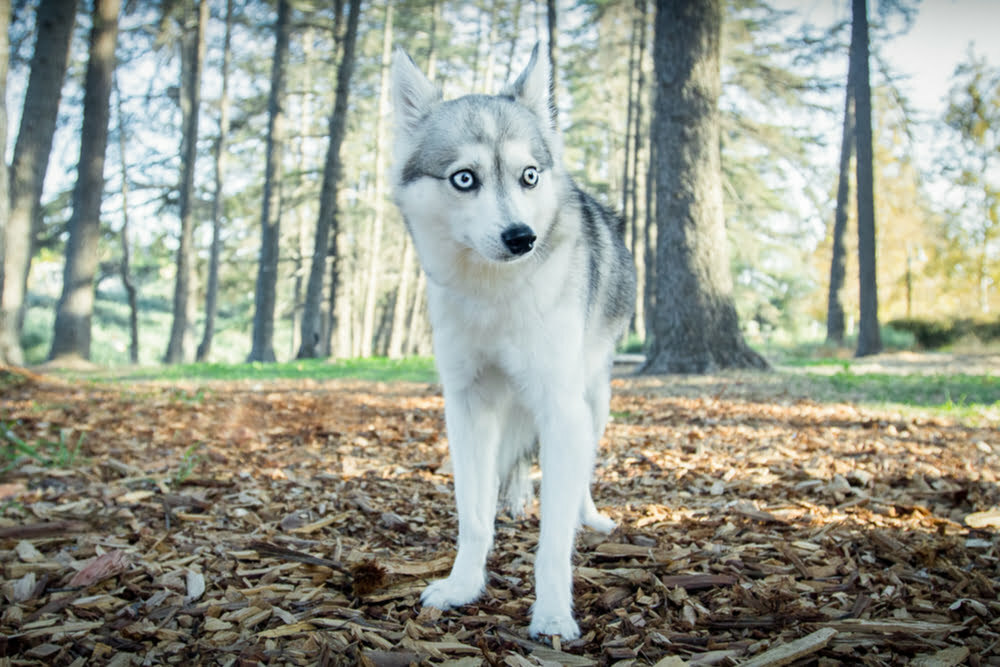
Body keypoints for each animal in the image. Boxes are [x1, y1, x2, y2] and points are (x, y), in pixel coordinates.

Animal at [388, 44, 632, 640]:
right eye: (464, 179)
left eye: (529, 175)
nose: (523, 237)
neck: (495, 294)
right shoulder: (469, 406)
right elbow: (473, 517)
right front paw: (462, 587)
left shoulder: (561, 408)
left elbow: (553, 537)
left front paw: (553, 614)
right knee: (518, 458)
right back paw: (517, 499)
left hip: (592, 398)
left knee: (580, 468)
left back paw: (589, 516)